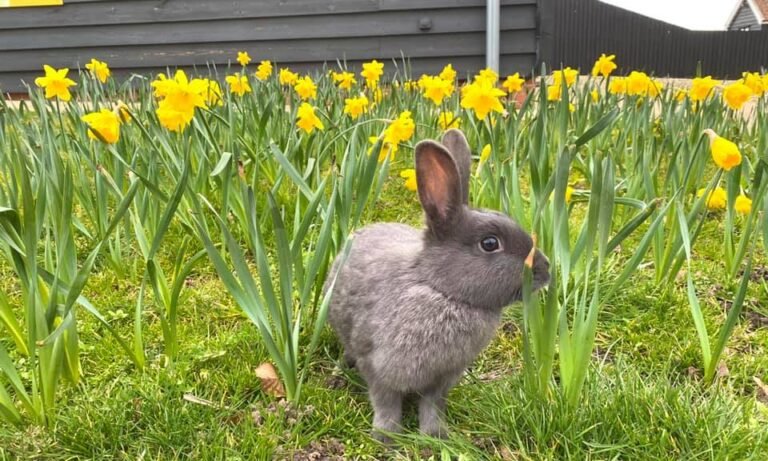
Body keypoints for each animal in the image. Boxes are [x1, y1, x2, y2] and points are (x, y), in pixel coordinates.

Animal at [324, 127, 552, 440]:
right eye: (490, 243)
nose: (546, 269)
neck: (441, 290)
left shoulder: (442, 379)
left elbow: (432, 406)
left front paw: (436, 435)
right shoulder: (379, 367)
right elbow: (386, 403)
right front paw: (387, 437)